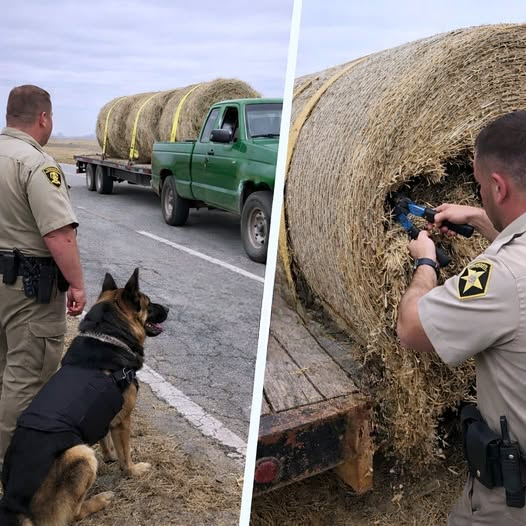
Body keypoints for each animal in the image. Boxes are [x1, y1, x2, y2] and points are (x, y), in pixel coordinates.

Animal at [0, 268, 168, 525]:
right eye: (148, 303)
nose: (168, 309)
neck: (108, 335)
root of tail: (11, 502)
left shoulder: (105, 414)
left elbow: (105, 438)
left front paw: (109, 456)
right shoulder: (123, 421)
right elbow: (126, 455)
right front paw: (133, 470)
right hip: (82, 454)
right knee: (73, 514)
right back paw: (100, 499)